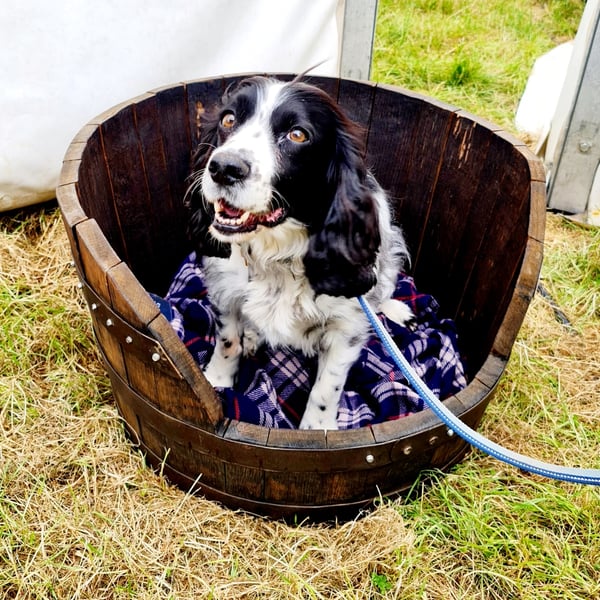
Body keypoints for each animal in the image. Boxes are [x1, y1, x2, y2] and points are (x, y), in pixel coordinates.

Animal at [186, 76, 412, 432]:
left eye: (297, 135)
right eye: (228, 119)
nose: (223, 167)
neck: (276, 254)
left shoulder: (346, 328)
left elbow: (327, 386)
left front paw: (317, 429)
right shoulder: (226, 293)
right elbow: (228, 342)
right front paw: (217, 381)